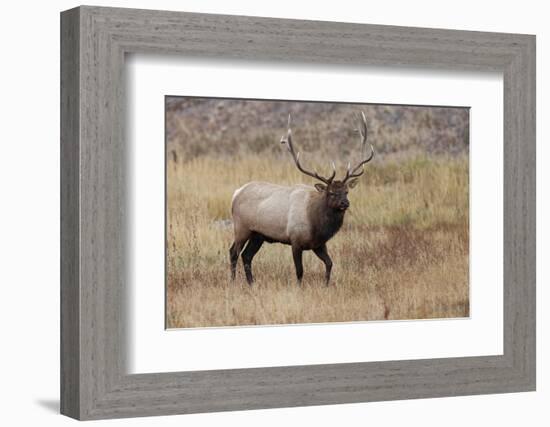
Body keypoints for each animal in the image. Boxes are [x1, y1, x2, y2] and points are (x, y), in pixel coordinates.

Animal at [229, 112, 376, 286]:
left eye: (346, 191)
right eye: (331, 192)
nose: (345, 203)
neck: (317, 225)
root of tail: (236, 193)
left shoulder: (318, 244)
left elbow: (329, 263)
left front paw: (326, 285)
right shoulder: (295, 240)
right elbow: (300, 271)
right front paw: (299, 288)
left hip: (258, 234)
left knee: (247, 256)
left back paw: (251, 283)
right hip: (241, 227)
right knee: (233, 252)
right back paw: (233, 282)